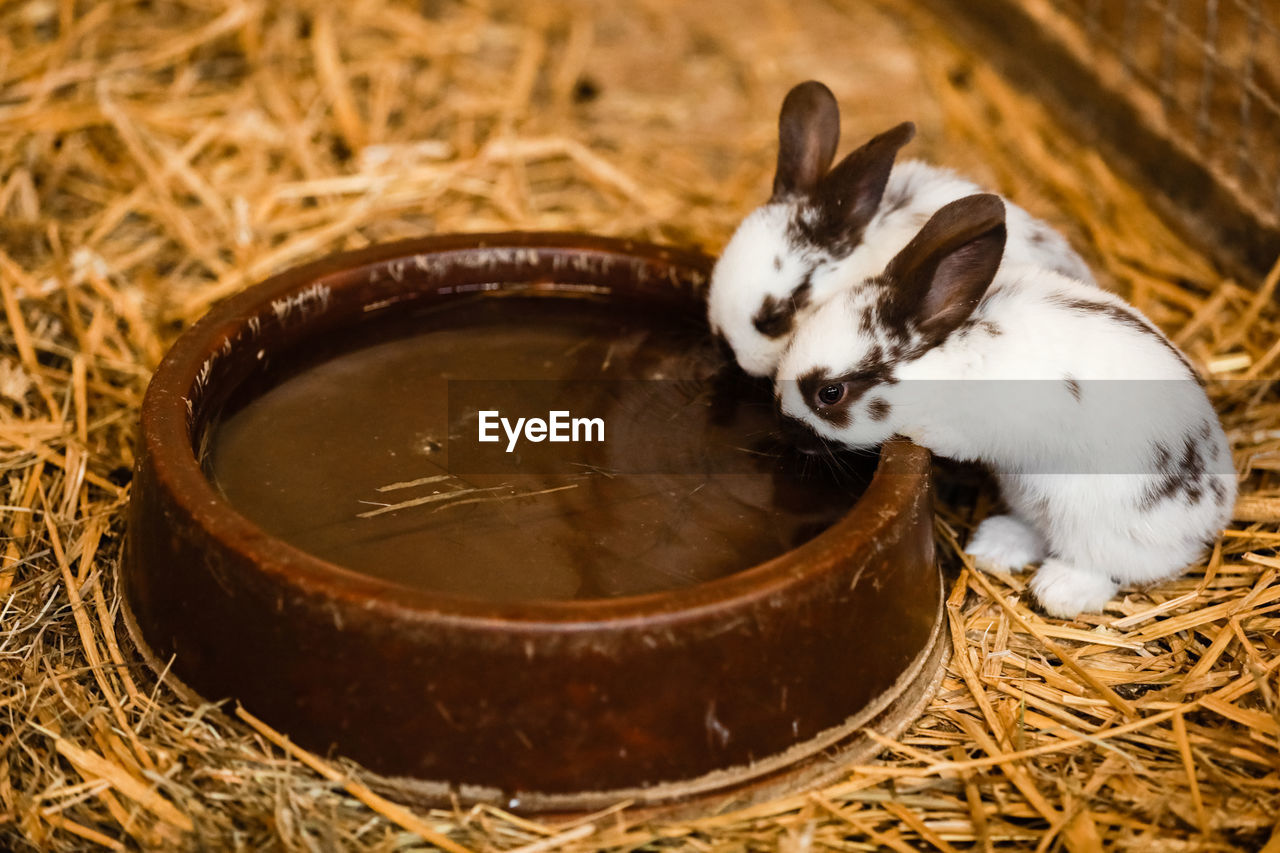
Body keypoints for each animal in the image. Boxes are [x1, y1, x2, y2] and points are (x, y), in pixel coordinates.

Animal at [773, 192, 1233, 617]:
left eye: (830, 393)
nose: (785, 429)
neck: (945, 359)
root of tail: (1215, 514)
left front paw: (919, 432)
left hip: (1093, 520)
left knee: (1109, 566)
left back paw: (1058, 590)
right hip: (1027, 493)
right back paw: (993, 545)